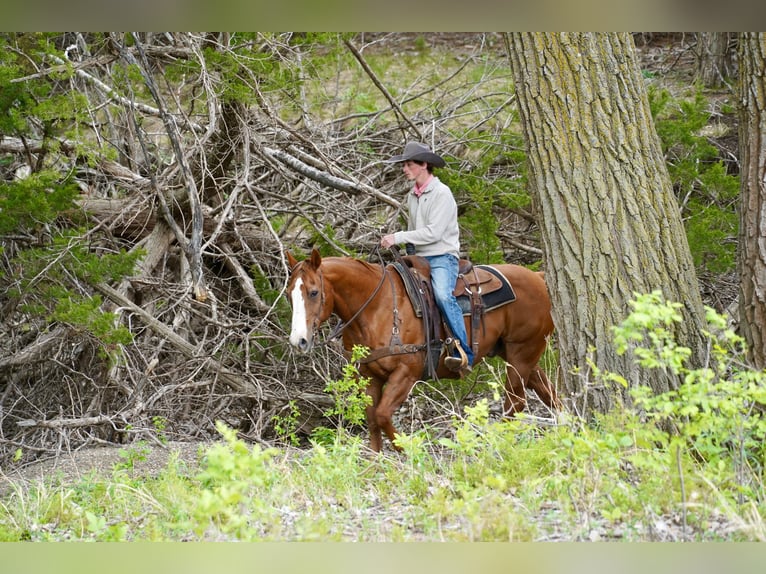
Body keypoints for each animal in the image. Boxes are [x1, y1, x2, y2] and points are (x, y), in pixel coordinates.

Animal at [285, 248, 560, 452]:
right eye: (289, 295)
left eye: (313, 292)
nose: (299, 341)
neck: (377, 307)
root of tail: (538, 277)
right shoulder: (369, 375)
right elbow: (372, 419)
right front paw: (377, 463)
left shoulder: (406, 373)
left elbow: (383, 415)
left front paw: (408, 451)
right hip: (519, 355)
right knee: (547, 392)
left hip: (522, 353)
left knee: (516, 402)